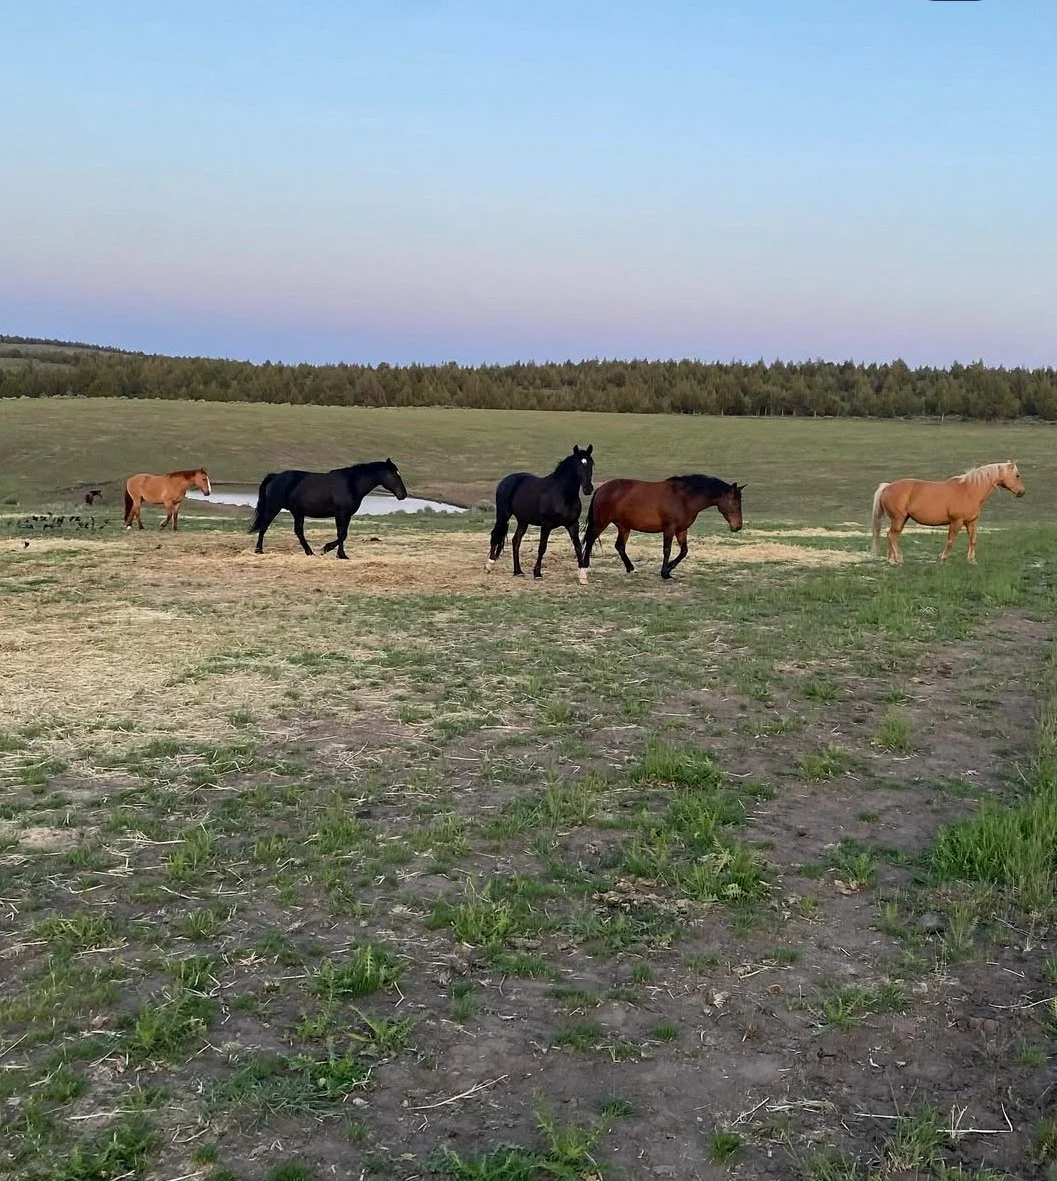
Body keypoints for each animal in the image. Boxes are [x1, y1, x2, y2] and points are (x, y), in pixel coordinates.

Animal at [249, 459, 408, 558]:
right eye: (394, 475)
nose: (403, 495)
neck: (352, 483)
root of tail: (275, 476)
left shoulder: (347, 515)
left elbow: (343, 534)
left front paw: (339, 554)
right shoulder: (341, 513)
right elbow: (341, 534)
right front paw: (330, 550)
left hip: (298, 512)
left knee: (298, 531)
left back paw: (310, 552)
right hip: (273, 508)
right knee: (264, 527)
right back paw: (259, 550)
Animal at [485, 444, 595, 582]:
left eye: (591, 464)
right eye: (578, 465)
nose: (588, 489)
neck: (563, 495)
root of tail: (504, 481)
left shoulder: (573, 524)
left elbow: (578, 546)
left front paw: (582, 576)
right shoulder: (546, 525)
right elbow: (542, 547)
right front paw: (537, 573)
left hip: (523, 521)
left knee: (516, 541)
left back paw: (518, 571)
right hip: (503, 516)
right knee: (495, 535)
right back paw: (489, 565)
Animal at [582, 474, 745, 580]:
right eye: (734, 502)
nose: (738, 526)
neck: (683, 498)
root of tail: (601, 489)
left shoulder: (681, 530)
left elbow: (684, 551)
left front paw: (669, 569)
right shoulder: (669, 529)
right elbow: (667, 550)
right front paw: (664, 572)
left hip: (624, 527)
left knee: (619, 546)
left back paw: (631, 568)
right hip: (601, 523)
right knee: (590, 540)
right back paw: (585, 565)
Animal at [870, 460, 1025, 565]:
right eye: (1017, 475)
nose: (1022, 492)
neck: (970, 491)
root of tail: (887, 487)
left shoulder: (971, 523)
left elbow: (973, 540)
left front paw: (972, 561)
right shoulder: (956, 522)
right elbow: (950, 540)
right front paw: (944, 559)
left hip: (901, 520)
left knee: (891, 535)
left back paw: (891, 560)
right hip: (899, 519)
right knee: (892, 535)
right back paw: (898, 559)